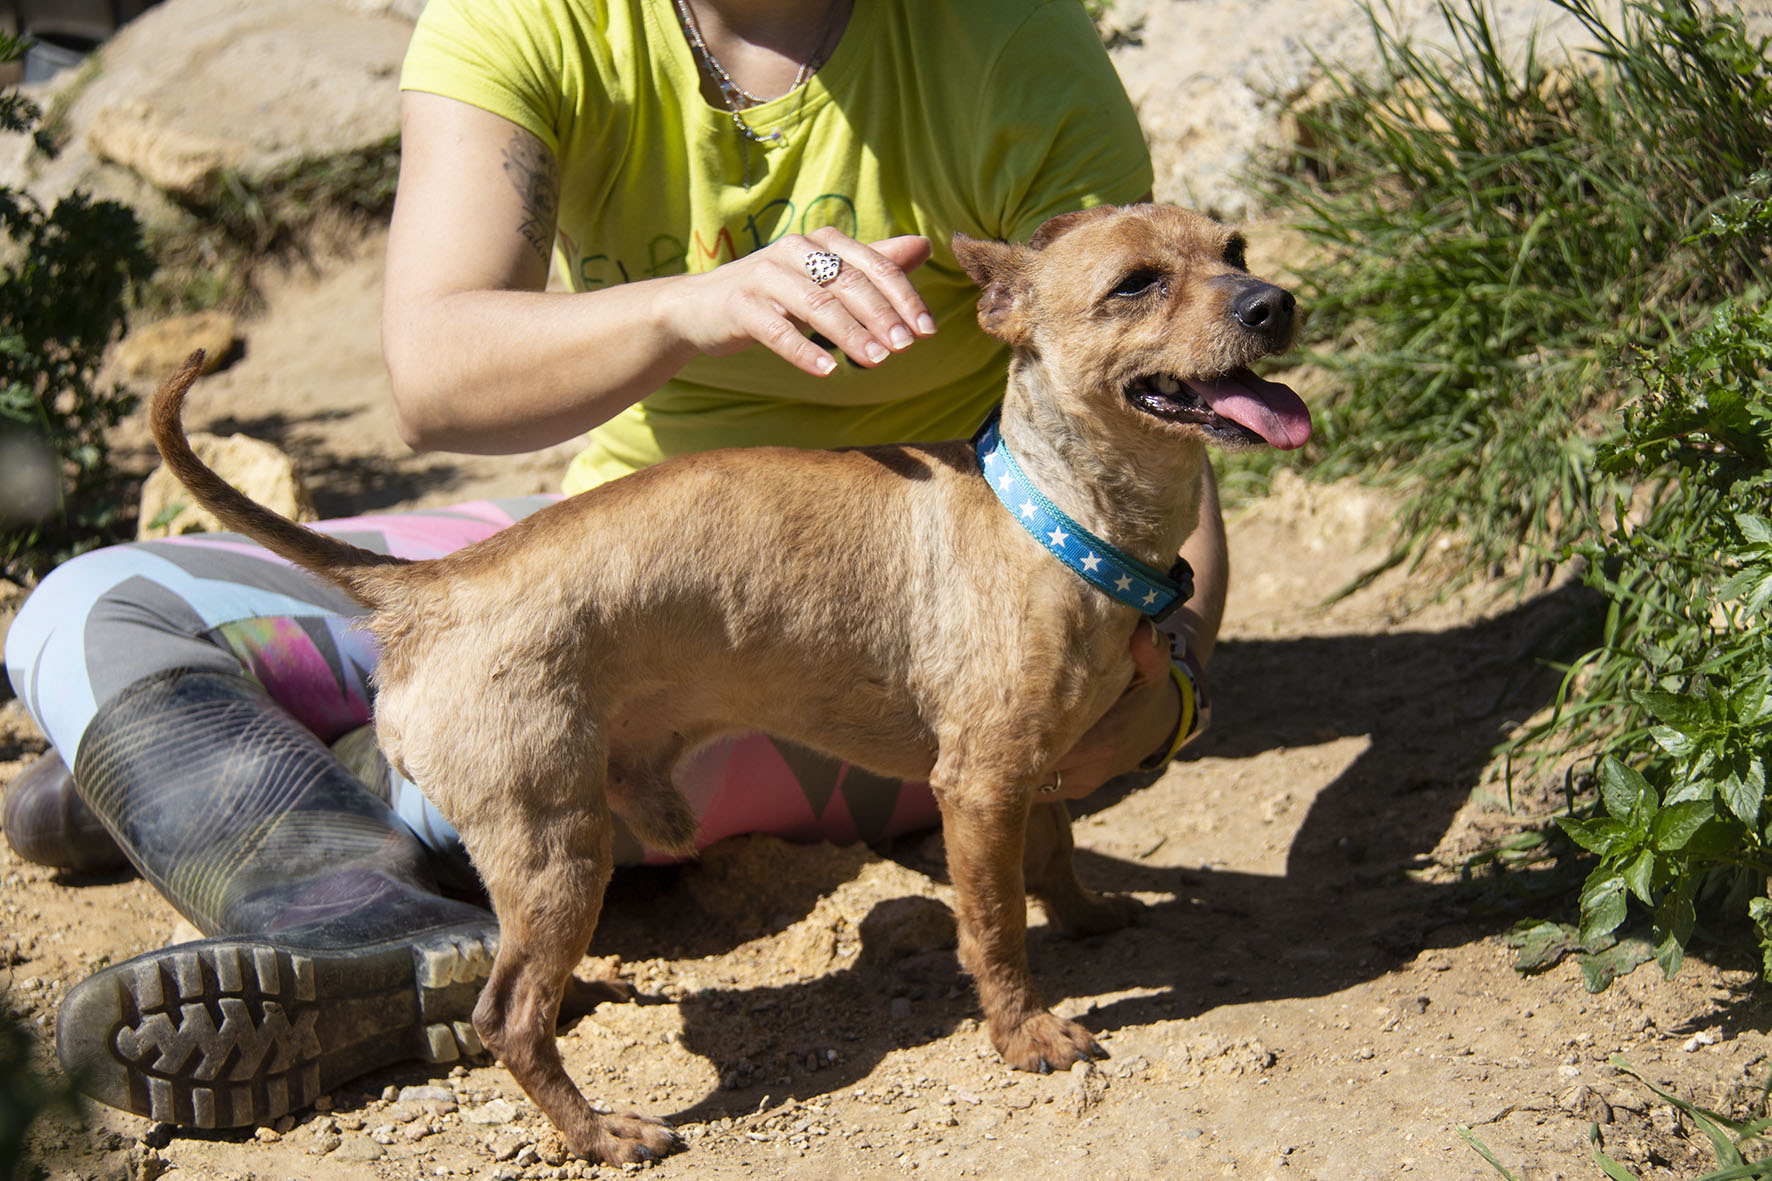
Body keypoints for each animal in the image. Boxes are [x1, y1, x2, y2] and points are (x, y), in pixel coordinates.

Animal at [149, 202, 1310, 1162]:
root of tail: (433, 583)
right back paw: (600, 1132)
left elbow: (1055, 861)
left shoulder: (1038, 766)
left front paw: (1088, 916)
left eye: (1235, 250)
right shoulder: (977, 784)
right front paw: (1024, 1033)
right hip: (557, 852)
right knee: (505, 1017)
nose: (1275, 301)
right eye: (1135, 284)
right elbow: (994, 924)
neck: (1059, 516)